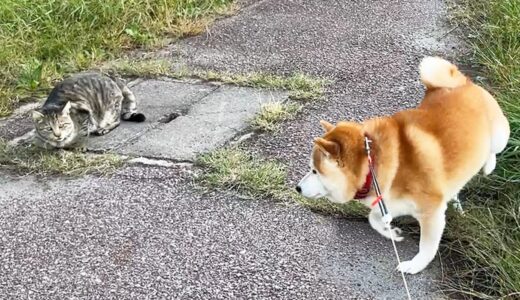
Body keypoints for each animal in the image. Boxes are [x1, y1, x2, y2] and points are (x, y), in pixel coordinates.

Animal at [294, 56, 510, 274]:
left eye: (314, 170)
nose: (297, 188)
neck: (372, 165)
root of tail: (462, 82)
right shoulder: (389, 201)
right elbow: (373, 218)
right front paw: (391, 232)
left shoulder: (431, 211)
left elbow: (427, 246)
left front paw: (415, 264)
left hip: (499, 136)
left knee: (494, 150)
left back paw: (489, 165)